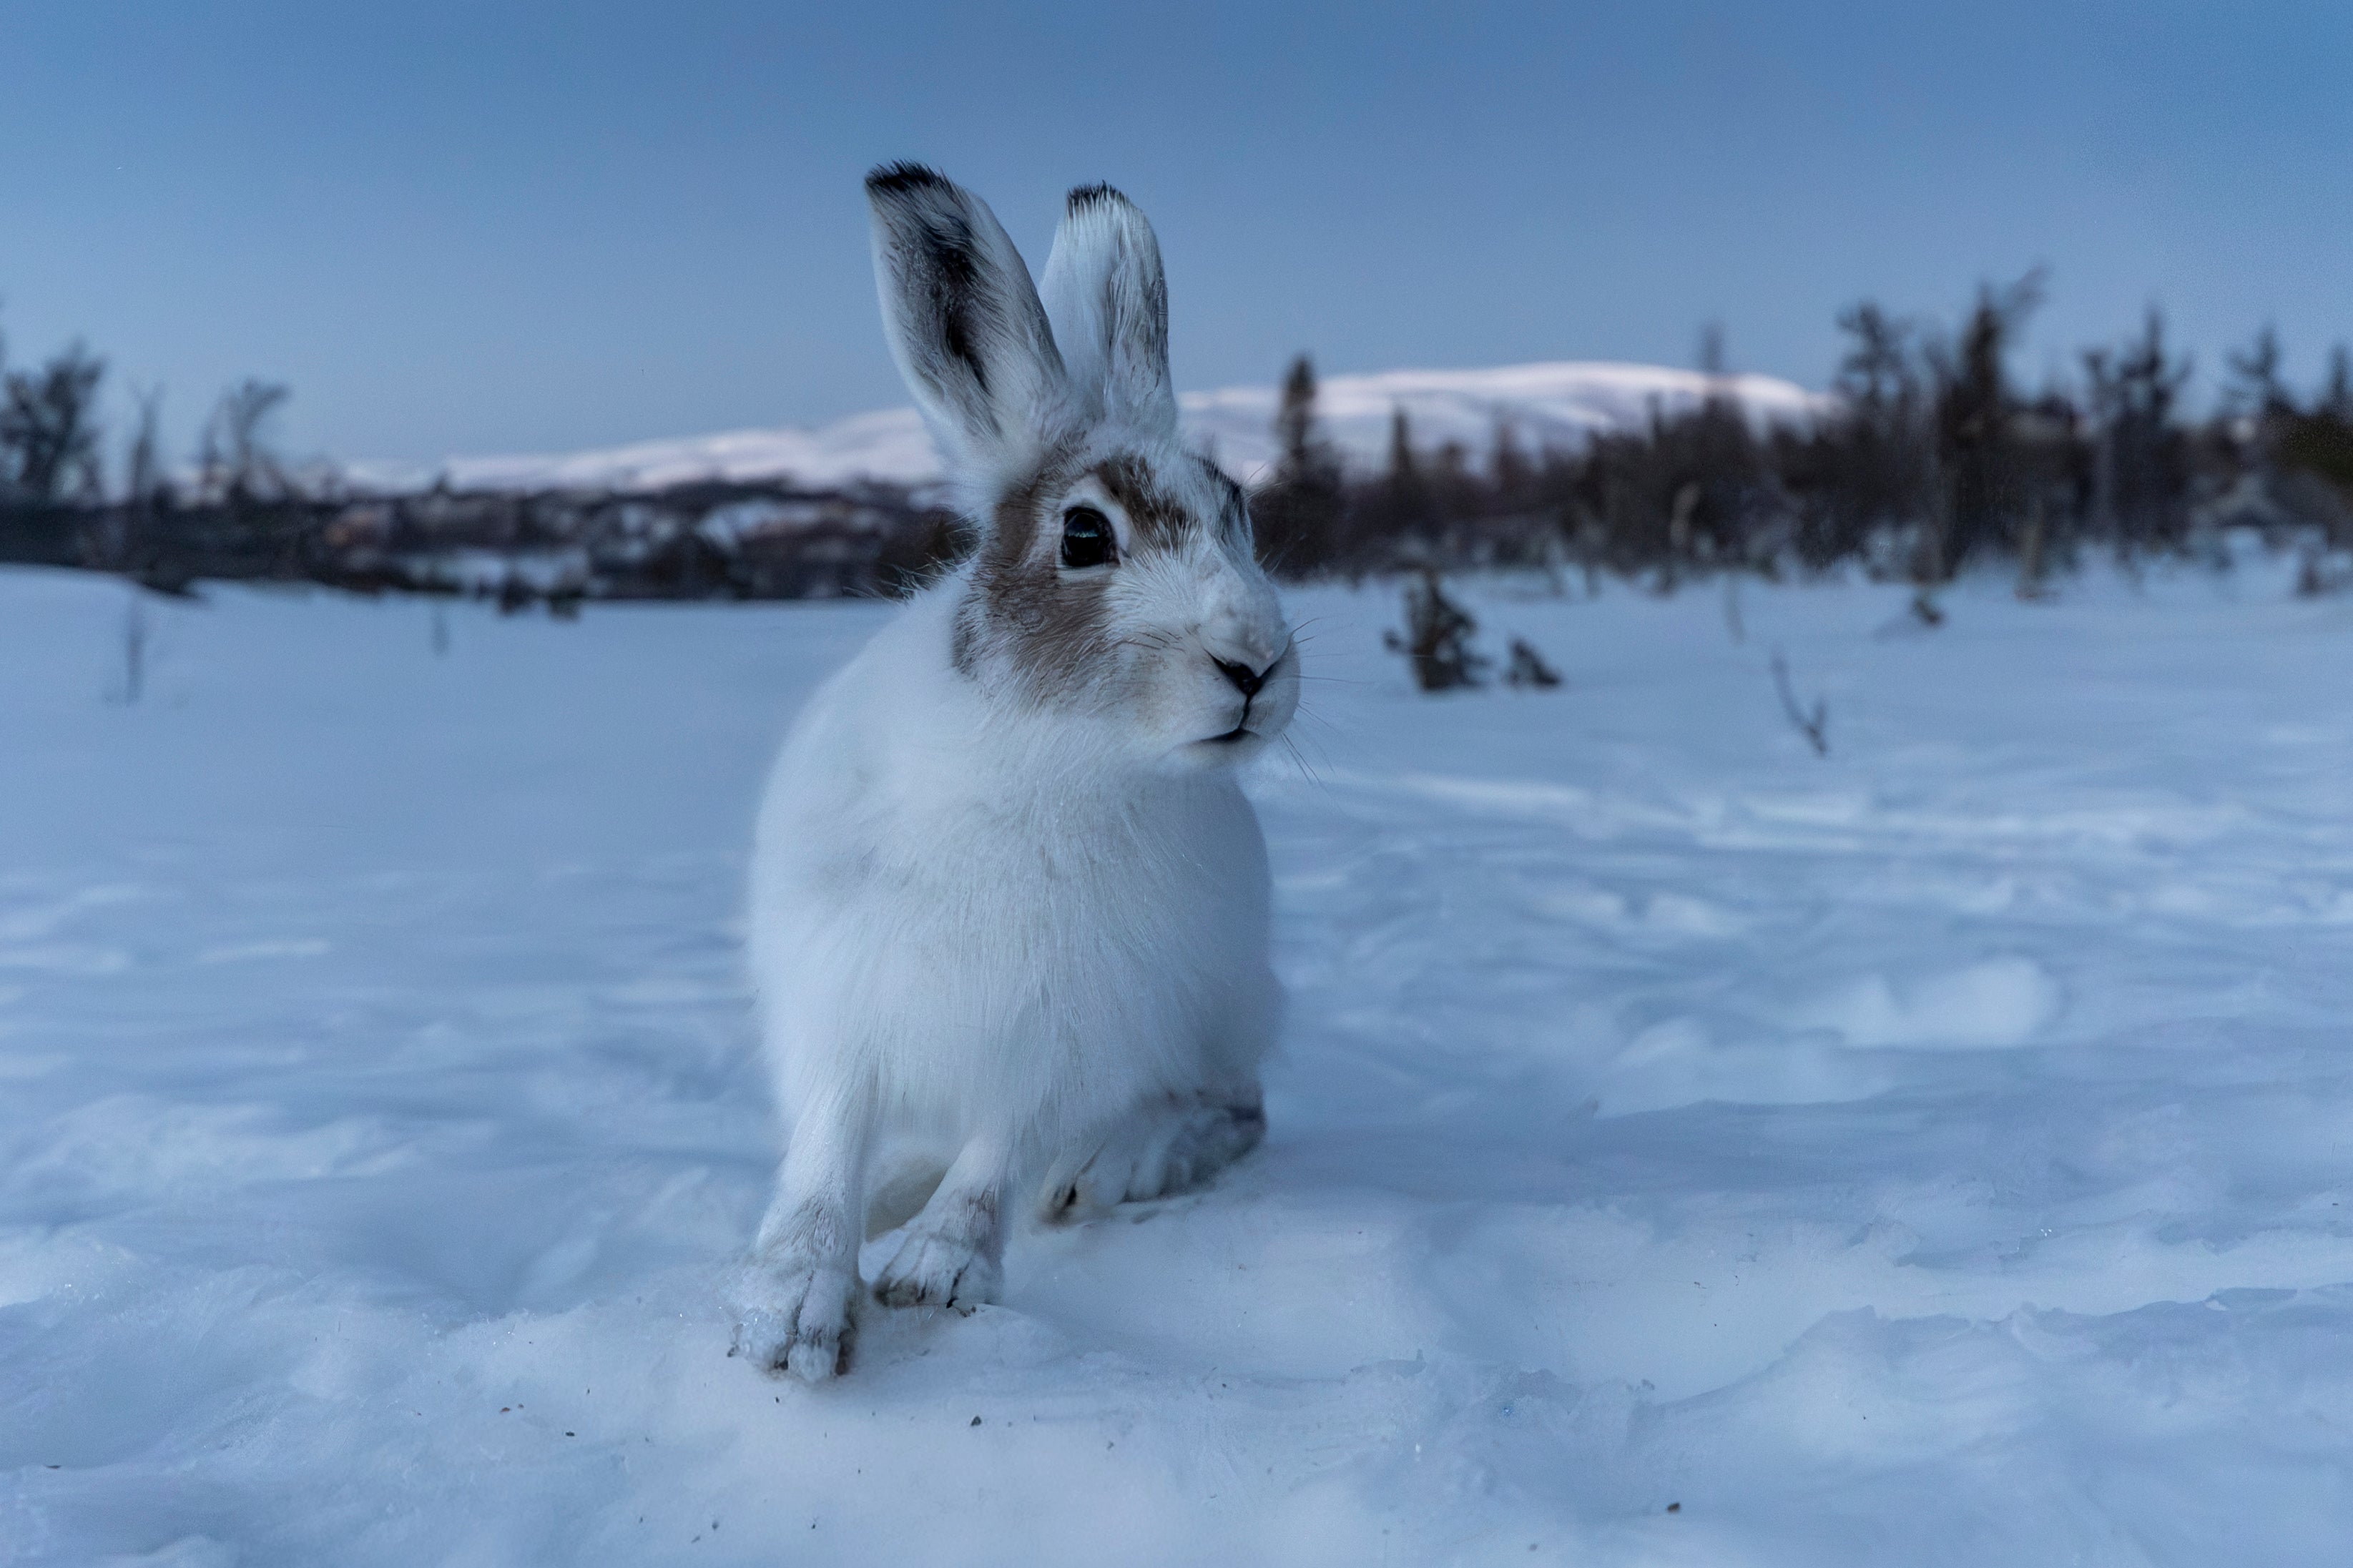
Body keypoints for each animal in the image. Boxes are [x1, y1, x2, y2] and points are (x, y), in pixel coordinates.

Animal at [726, 164, 1299, 1381]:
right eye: (1083, 536)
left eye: (1238, 515)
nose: (1256, 665)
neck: (1047, 750)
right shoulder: (843, 993)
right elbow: (826, 1140)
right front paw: (786, 1304)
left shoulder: (1070, 1027)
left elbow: (1001, 1145)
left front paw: (936, 1270)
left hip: (1220, 1009)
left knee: (1239, 1107)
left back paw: (1115, 1165)